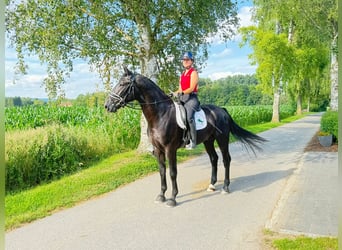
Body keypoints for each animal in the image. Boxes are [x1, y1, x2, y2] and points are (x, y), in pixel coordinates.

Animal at [105, 66, 268, 207]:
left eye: (123, 84)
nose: (107, 106)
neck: (161, 114)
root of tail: (222, 110)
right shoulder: (158, 150)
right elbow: (162, 171)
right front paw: (161, 196)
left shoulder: (170, 149)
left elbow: (172, 172)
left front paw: (172, 198)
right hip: (208, 141)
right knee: (214, 159)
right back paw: (211, 185)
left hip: (222, 139)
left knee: (226, 159)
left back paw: (226, 187)